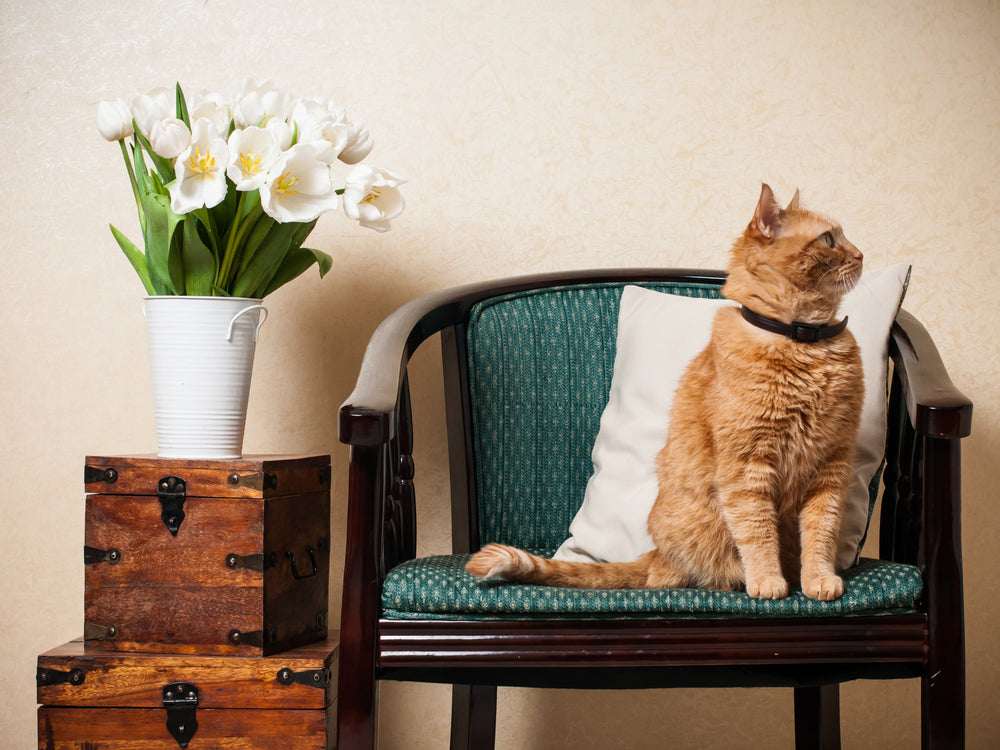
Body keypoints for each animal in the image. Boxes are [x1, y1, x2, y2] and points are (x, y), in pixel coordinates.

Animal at [468, 185, 868, 604]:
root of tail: (657, 552)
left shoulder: (832, 465)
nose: (861, 254)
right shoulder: (747, 466)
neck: (802, 342)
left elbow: (821, 532)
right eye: (828, 240)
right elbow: (757, 530)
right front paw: (767, 580)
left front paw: (818, 578)